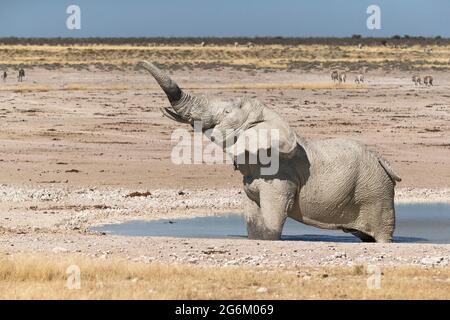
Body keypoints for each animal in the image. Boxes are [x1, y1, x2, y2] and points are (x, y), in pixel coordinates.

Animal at [138, 60, 400, 242]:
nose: (139, 62)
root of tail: (384, 162)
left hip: (376, 192)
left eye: (226, 113)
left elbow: (272, 221)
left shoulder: (280, 179)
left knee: (381, 234)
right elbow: (253, 221)